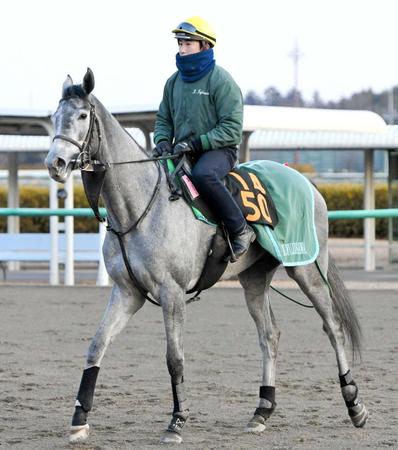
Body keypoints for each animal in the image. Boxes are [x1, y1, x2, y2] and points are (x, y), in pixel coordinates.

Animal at [46, 68, 370, 444]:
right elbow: (97, 345)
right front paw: (79, 419)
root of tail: (307, 182)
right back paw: (261, 411)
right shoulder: (127, 293)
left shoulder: (172, 293)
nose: (54, 163)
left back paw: (354, 404)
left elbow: (174, 358)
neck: (140, 207)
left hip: (307, 270)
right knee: (269, 336)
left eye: (83, 116)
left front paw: (177, 420)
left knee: (333, 326)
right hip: (254, 280)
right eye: (55, 117)